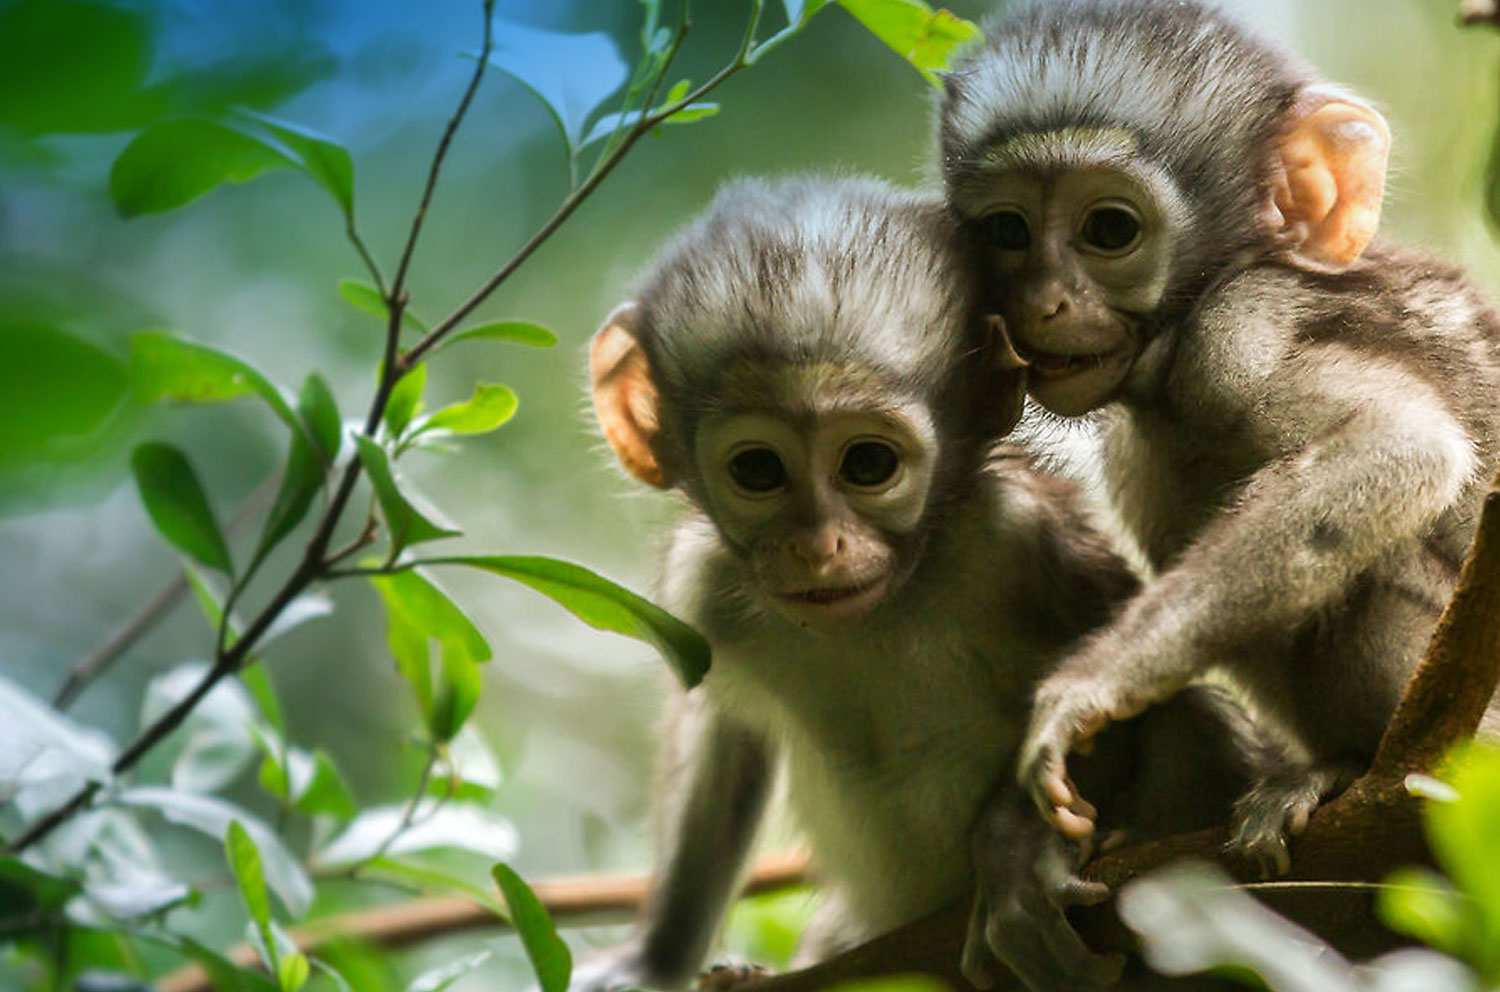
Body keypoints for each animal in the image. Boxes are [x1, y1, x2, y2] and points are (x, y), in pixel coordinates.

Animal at [573, 174, 1280, 992]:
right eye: (757, 470)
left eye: (868, 464)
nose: (817, 546)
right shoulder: (705, 586)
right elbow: (722, 739)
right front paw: (654, 960)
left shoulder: (1020, 536)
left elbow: (1115, 693)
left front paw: (1016, 857)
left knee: (1191, 716)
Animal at [936, 0, 1500, 973]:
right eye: (1006, 234)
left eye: (1109, 230)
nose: (1042, 303)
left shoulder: (1240, 331)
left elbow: (1403, 448)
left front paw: (1091, 688)